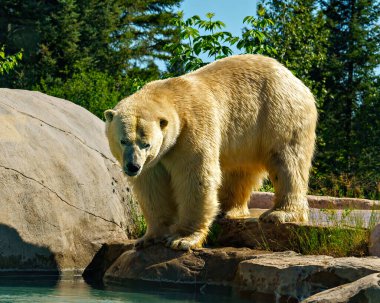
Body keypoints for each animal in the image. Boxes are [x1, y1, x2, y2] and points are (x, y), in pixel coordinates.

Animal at [104, 54, 318, 252]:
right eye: (123, 141)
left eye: (146, 144)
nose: (132, 166)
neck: (172, 95)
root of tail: (296, 80)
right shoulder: (156, 159)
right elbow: (152, 186)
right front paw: (148, 238)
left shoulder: (192, 130)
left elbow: (195, 177)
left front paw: (182, 239)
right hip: (246, 133)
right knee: (239, 170)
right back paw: (227, 210)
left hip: (278, 113)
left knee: (287, 161)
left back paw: (279, 213)